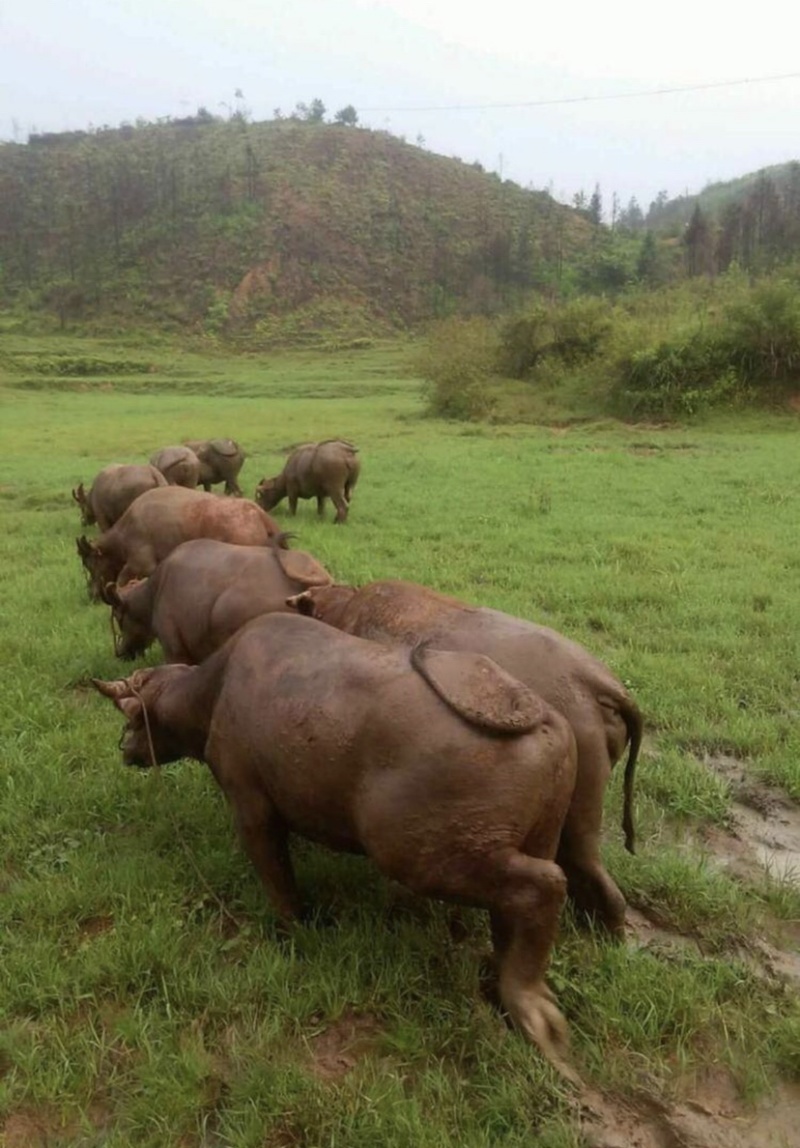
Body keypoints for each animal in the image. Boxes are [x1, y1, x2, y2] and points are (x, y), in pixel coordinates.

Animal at [74, 484, 281, 601]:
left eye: (91, 565)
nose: (91, 594)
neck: (124, 532)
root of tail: (260, 514)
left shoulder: (141, 565)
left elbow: (121, 580)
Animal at [93, 615, 576, 1069]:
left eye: (131, 717)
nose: (125, 750)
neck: (211, 693)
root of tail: (541, 721)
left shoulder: (250, 805)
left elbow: (278, 881)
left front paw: (292, 930)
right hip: (537, 835)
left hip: (419, 854)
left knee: (544, 885)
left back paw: (529, 1005)